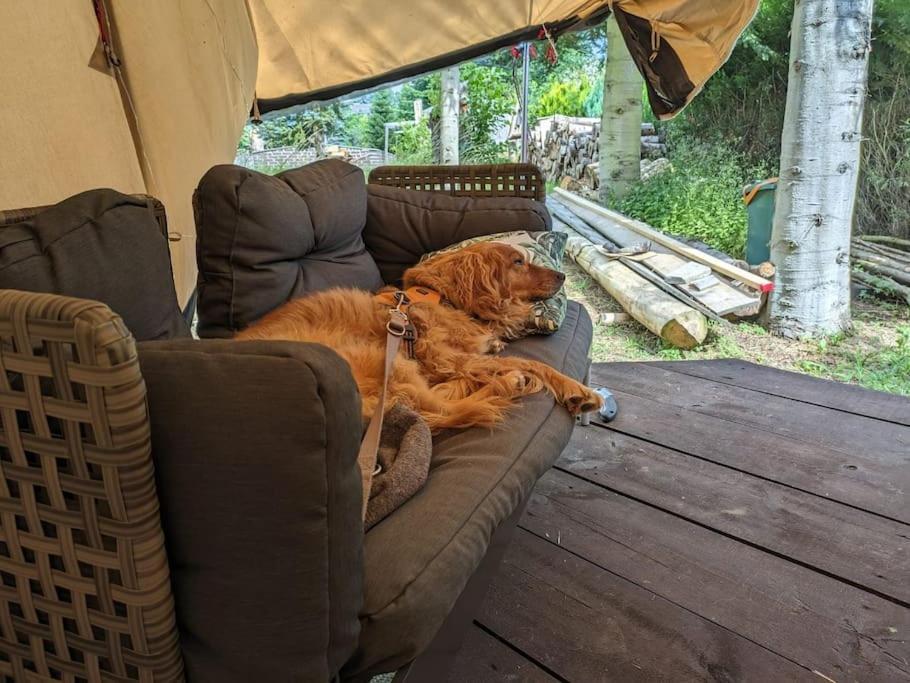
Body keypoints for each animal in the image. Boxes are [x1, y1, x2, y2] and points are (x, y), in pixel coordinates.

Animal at [239, 243, 604, 430]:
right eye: (517, 262)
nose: (562, 275)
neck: (445, 297)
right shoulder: (446, 357)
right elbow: (532, 363)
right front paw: (578, 391)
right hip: (387, 360)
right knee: (442, 408)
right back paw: (508, 383)